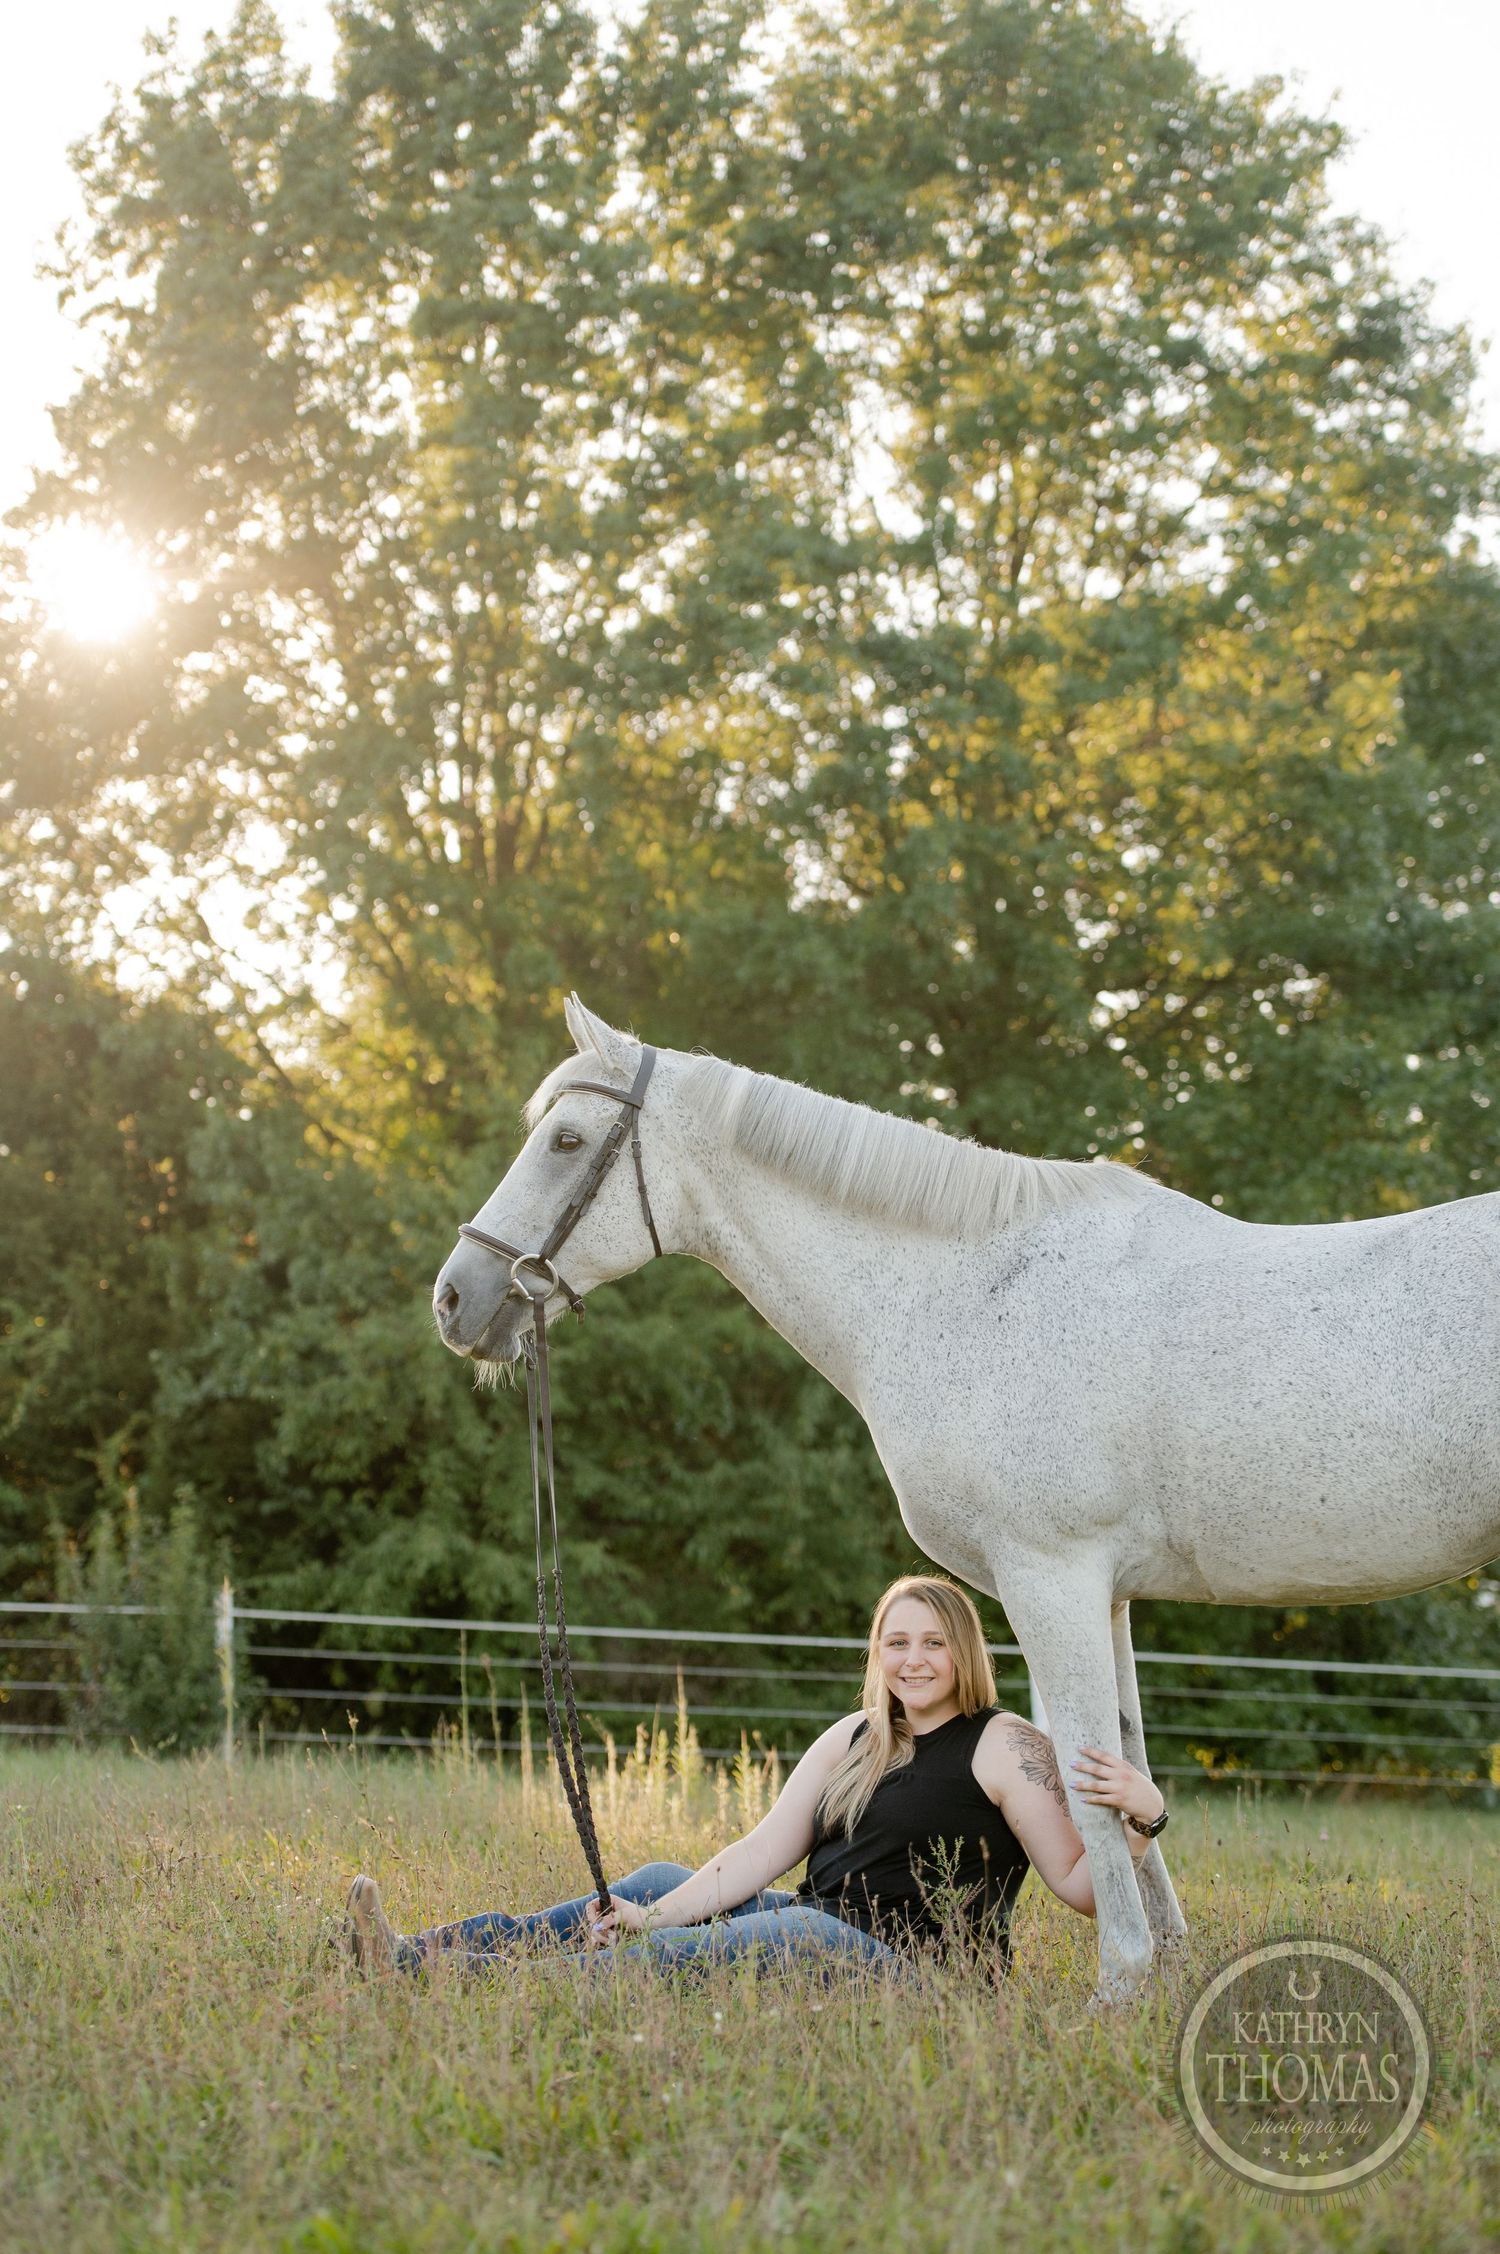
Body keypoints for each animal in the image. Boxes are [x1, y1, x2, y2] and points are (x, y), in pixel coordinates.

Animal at [432, 995, 1500, 1999]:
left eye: (568, 1142)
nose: (455, 1298)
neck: (968, 1290)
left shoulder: (1051, 1575)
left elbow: (1082, 1773)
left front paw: (1119, 1986)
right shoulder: (1108, 1592)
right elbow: (1122, 1759)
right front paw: (1167, 1973)